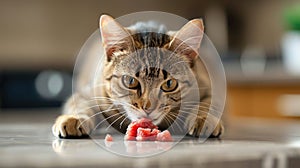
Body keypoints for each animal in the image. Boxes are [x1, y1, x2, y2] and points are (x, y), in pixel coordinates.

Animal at [52, 14, 224, 138]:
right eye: (130, 81)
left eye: (169, 84)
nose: (148, 108)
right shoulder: (87, 93)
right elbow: (80, 104)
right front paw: (73, 118)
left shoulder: (208, 87)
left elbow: (207, 104)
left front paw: (203, 119)